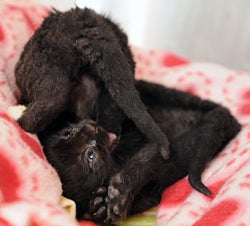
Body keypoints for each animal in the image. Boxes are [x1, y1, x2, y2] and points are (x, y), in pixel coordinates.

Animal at [38, 80, 240, 223]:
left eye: (68, 133)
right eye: (90, 155)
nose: (91, 128)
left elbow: (146, 157)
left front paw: (119, 191)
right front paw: (100, 206)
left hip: (163, 94)